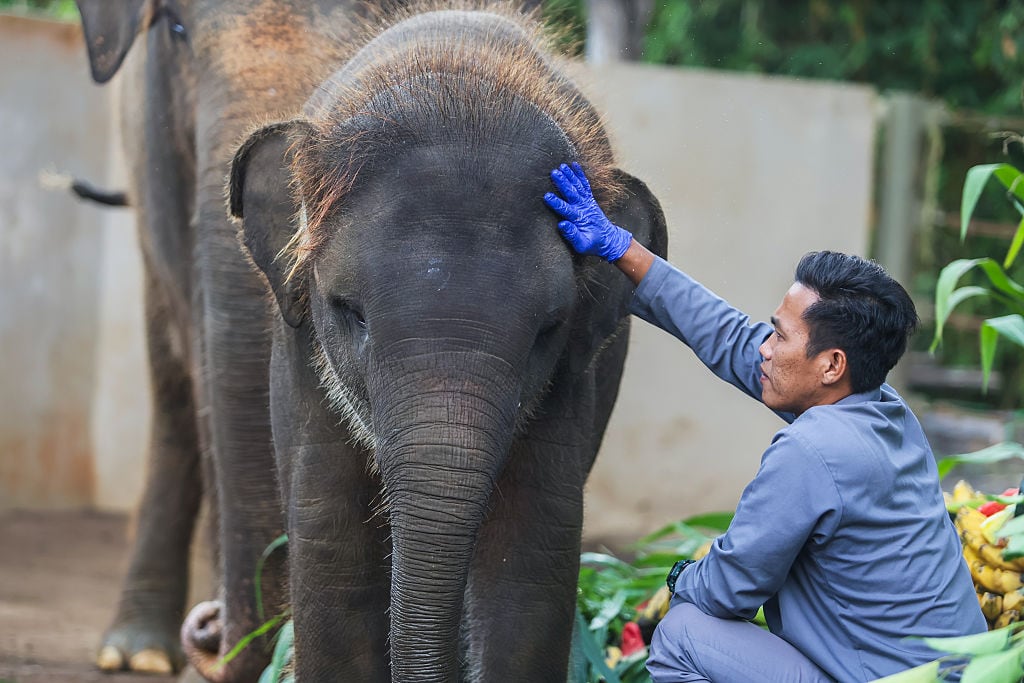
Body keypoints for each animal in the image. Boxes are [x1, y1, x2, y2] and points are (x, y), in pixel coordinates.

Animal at [221, 2, 668, 681]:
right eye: (349, 313)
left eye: (547, 331)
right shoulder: (303, 358)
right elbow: (332, 549)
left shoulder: (572, 377)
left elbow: (529, 561)